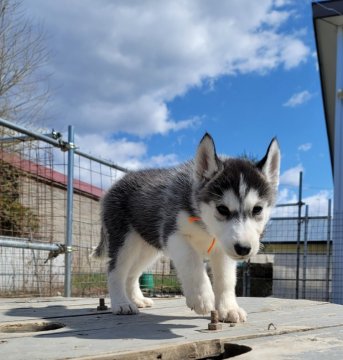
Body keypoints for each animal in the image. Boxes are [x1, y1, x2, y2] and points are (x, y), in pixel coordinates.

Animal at [92, 133, 280, 324]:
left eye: (257, 209)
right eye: (222, 209)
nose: (243, 249)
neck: (206, 227)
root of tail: (115, 184)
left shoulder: (222, 247)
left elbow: (226, 279)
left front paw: (228, 309)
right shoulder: (172, 234)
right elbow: (192, 260)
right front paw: (202, 297)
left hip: (147, 248)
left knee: (131, 273)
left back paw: (137, 299)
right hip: (125, 242)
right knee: (115, 271)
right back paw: (122, 303)